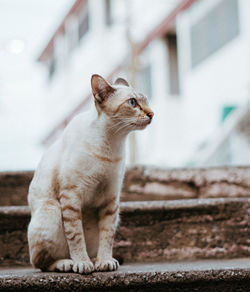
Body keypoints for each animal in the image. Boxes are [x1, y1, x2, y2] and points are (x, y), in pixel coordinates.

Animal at [26, 73, 152, 274]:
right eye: (132, 102)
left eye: (146, 101)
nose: (152, 114)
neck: (112, 143)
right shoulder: (71, 195)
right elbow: (76, 237)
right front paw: (82, 264)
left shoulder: (111, 199)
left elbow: (107, 236)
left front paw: (104, 262)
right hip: (52, 210)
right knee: (41, 262)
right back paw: (68, 263)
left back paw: (96, 260)